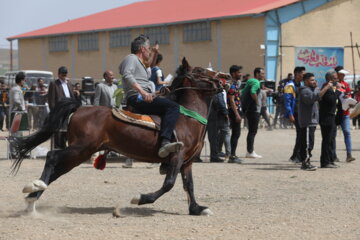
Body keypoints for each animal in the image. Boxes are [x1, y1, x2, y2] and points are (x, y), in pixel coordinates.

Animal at [11, 58, 228, 216]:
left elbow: (189, 185)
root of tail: (80, 107)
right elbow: (169, 184)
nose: (224, 78)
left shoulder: (187, 161)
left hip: (81, 152)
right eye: (200, 70)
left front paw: (197, 208)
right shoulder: (177, 155)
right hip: (81, 148)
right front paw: (140, 198)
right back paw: (34, 189)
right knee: (52, 157)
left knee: (56, 169)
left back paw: (32, 199)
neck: (186, 117)